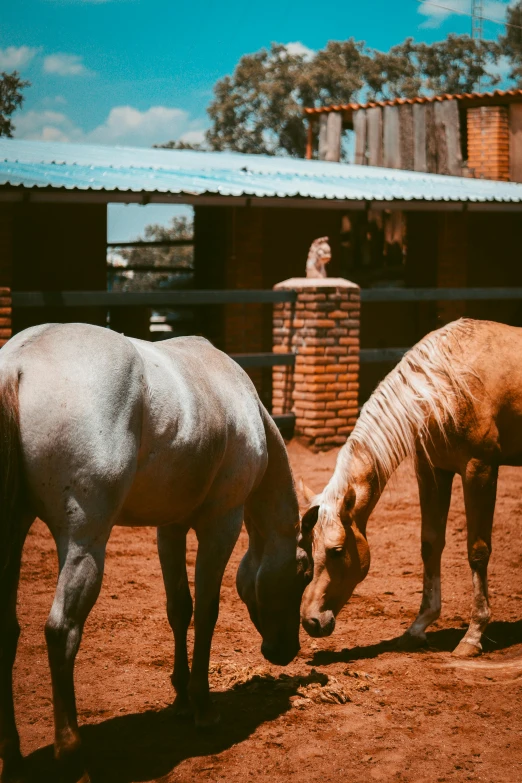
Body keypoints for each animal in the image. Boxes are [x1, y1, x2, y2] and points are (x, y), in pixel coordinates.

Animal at [0, 324, 308, 783]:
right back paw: (71, 754)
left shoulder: (171, 528)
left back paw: (13, 759)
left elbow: (179, 608)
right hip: (84, 543)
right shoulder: (221, 524)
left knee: (8, 631)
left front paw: (180, 698)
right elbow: (208, 612)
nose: (286, 650)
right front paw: (202, 706)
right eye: (303, 574)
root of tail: (18, 363)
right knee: (62, 632)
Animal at [296, 320, 520, 660]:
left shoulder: (479, 469)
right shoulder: (431, 470)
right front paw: (418, 627)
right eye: (307, 548)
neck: (447, 387)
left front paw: (473, 635)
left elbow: (477, 551)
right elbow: (430, 545)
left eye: (336, 551)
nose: (311, 622)